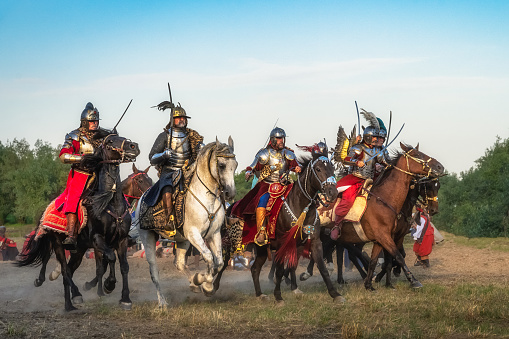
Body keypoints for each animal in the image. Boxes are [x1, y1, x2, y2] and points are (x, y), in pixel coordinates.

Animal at [17, 132, 139, 310]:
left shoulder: (121, 240)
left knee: (68, 271)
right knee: (64, 269)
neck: (110, 202)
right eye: (110, 140)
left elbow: (123, 266)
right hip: (58, 243)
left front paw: (125, 298)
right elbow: (110, 259)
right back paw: (73, 297)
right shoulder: (98, 239)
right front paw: (108, 285)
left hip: (79, 250)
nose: (133, 147)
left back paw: (70, 301)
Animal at [135, 136, 238, 308]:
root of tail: (141, 198)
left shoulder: (214, 234)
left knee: (180, 264)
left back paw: (193, 283)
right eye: (222, 165)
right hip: (147, 237)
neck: (205, 196)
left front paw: (202, 282)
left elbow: (219, 262)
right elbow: (209, 257)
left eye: (235, 165)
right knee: (154, 271)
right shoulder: (194, 234)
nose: (230, 193)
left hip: (182, 240)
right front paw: (207, 284)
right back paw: (162, 302)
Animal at [212, 151, 344, 306]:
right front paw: (279, 296)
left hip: (262, 249)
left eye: (332, 168)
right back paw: (213, 287)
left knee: (255, 269)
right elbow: (280, 270)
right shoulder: (283, 243)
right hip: (234, 242)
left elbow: (321, 268)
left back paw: (260, 294)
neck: (300, 205)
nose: (332, 193)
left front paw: (335, 294)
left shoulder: (313, 242)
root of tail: (232, 207)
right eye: (318, 169)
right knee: (224, 262)